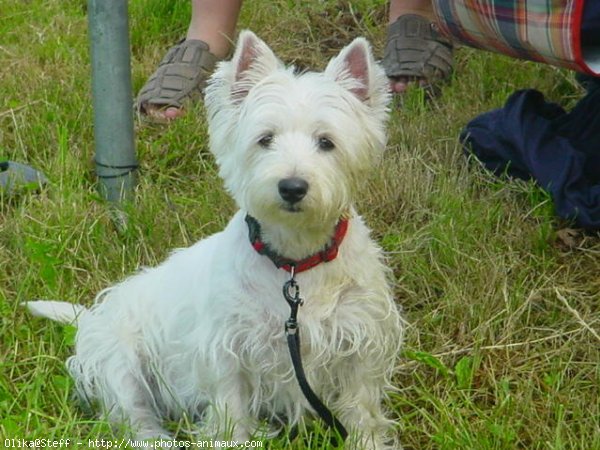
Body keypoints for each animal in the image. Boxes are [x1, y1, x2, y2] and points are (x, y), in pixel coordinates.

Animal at [27, 29, 404, 448]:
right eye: (265, 139)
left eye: (326, 142)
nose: (292, 187)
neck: (295, 260)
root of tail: (92, 318)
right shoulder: (226, 348)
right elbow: (230, 407)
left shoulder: (363, 339)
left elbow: (361, 405)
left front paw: (367, 441)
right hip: (119, 359)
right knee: (131, 413)